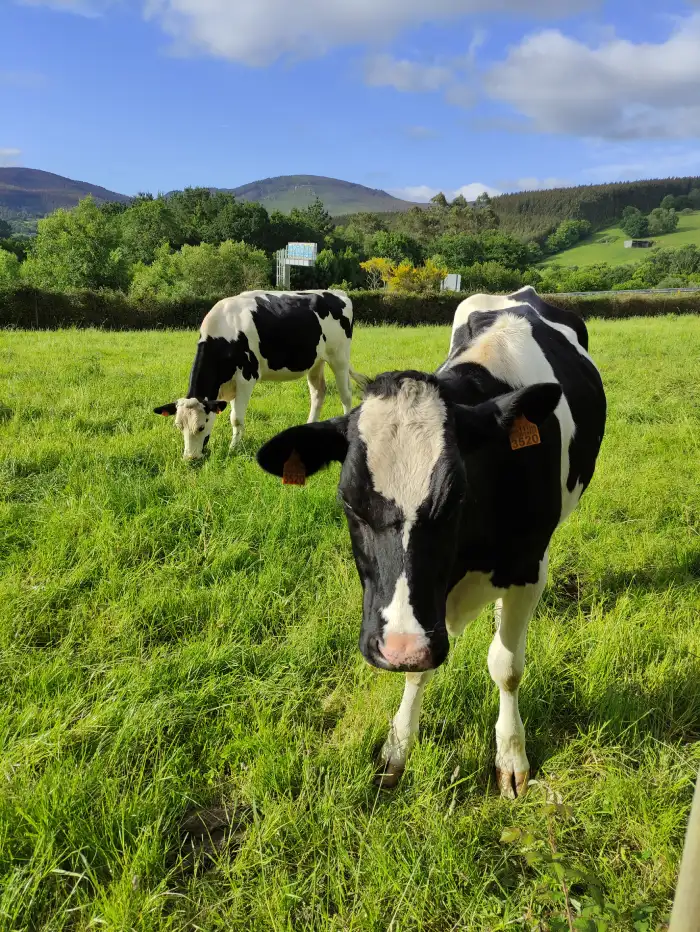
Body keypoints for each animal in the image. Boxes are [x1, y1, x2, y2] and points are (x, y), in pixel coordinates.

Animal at [153, 290, 367, 460]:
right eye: (178, 426)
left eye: (200, 426)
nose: (190, 458)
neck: (225, 332)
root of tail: (337, 293)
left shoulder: (246, 378)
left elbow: (236, 418)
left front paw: (233, 448)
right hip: (316, 361)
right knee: (318, 393)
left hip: (339, 357)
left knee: (346, 395)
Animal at [256, 287, 606, 797]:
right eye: (349, 502)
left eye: (456, 496)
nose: (399, 648)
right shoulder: (422, 616)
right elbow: (419, 671)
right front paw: (398, 748)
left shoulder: (527, 569)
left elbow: (507, 666)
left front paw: (511, 757)